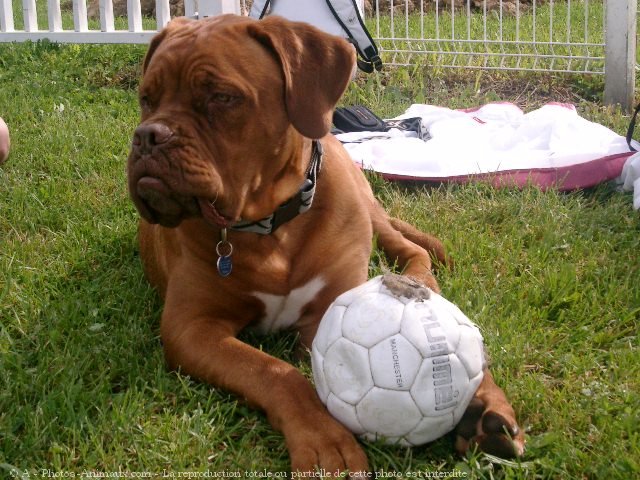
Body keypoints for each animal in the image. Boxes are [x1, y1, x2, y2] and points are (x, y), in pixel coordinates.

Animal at [126, 14, 524, 472]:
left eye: (222, 98)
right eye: (146, 98)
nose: (148, 136)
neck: (270, 225)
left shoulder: (331, 303)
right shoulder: (191, 327)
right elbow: (272, 370)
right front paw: (323, 439)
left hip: (369, 208)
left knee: (413, 250)